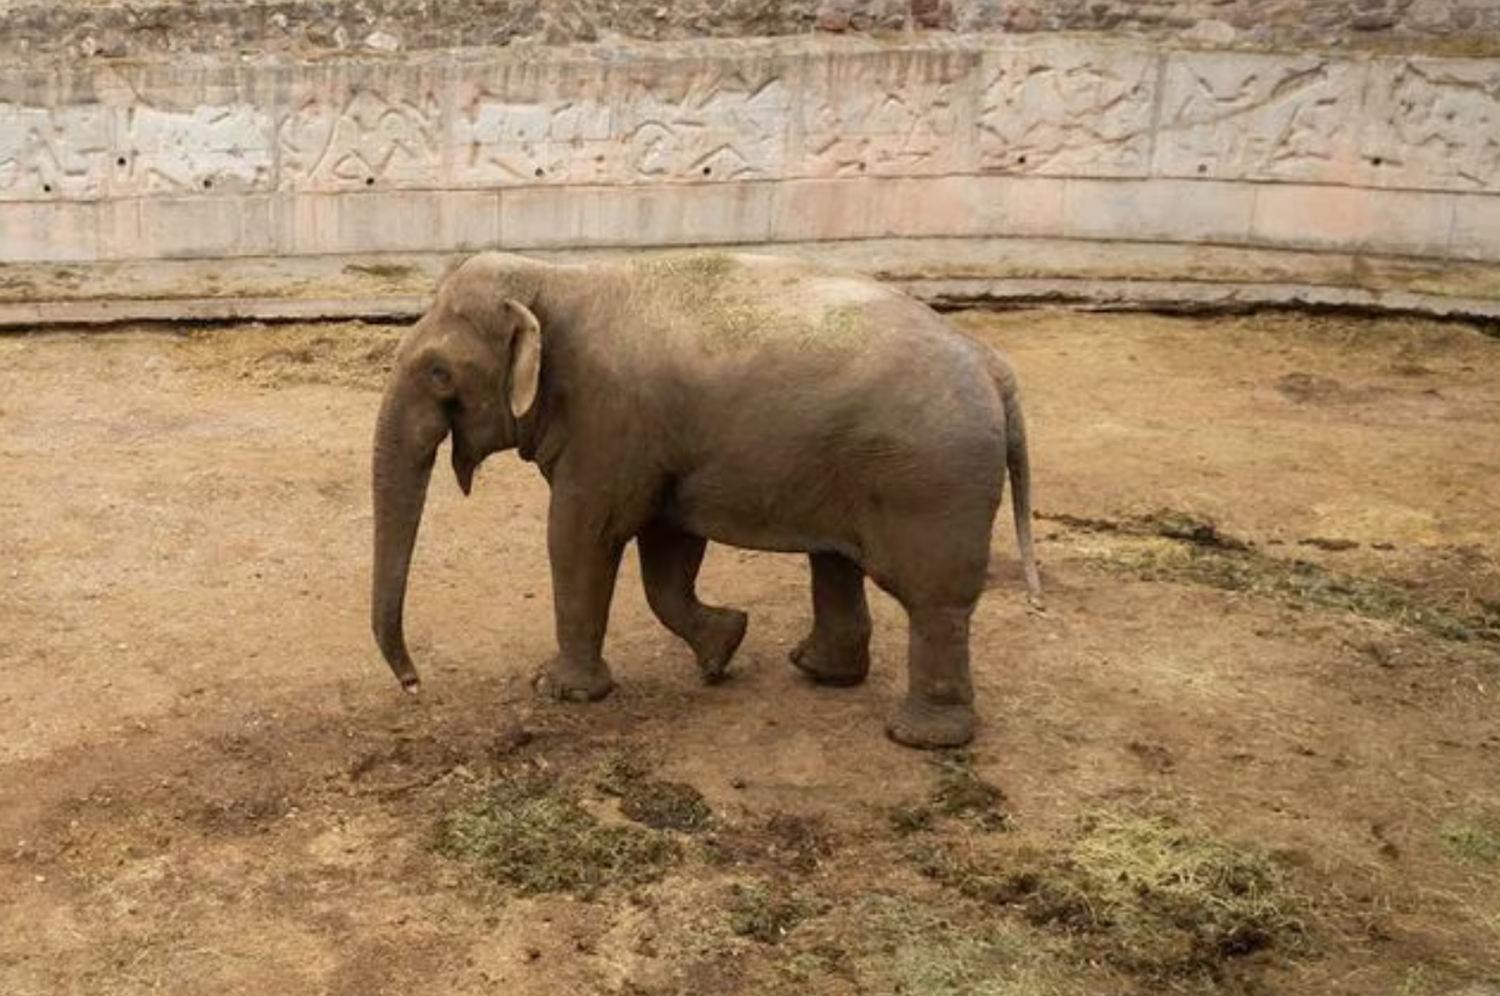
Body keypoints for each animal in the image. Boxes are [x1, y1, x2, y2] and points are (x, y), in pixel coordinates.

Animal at [369, 249, 1038, 747]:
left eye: (438, 373)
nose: (413, 684)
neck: (555, 277)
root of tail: (995, 368)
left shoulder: (612, 423)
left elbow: (582, 534)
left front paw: (560, 692)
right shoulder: (659, 444)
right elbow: (667, 549)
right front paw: (723, 649)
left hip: (929, 482)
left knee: (933, 598)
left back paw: (918, 737)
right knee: (836, 562)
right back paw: (817, 671)